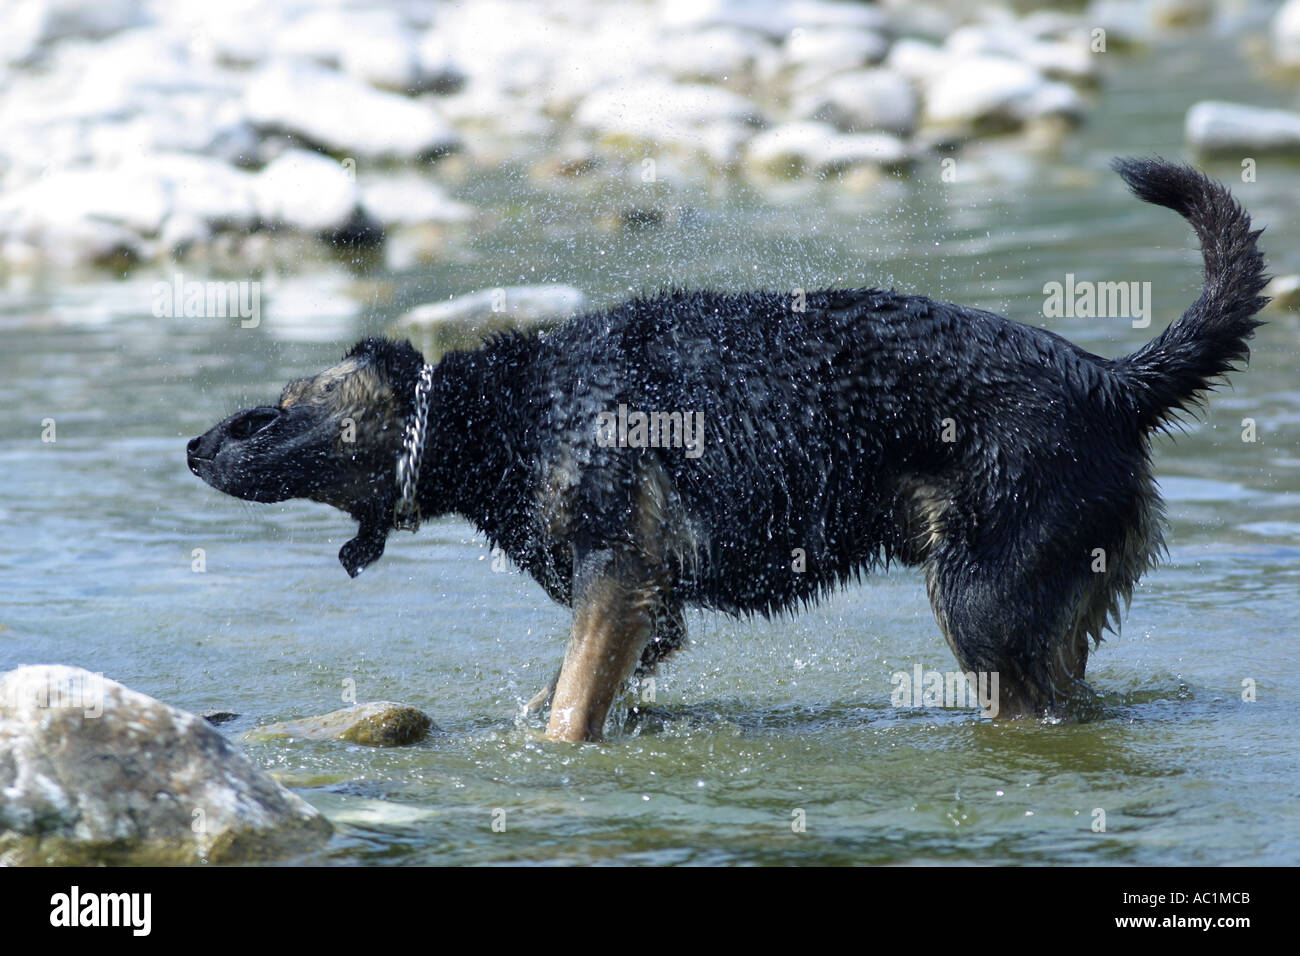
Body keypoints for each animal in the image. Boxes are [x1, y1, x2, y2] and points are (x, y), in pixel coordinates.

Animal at [189, 160, 1268, 738]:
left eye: (277, 409)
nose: (195, 445)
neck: (503, 410)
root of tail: (1111, 379)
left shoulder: (616, 582)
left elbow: (568, 711)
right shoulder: (646, 610)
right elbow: (571, 695)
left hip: (981, 603)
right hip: (1050, 607)